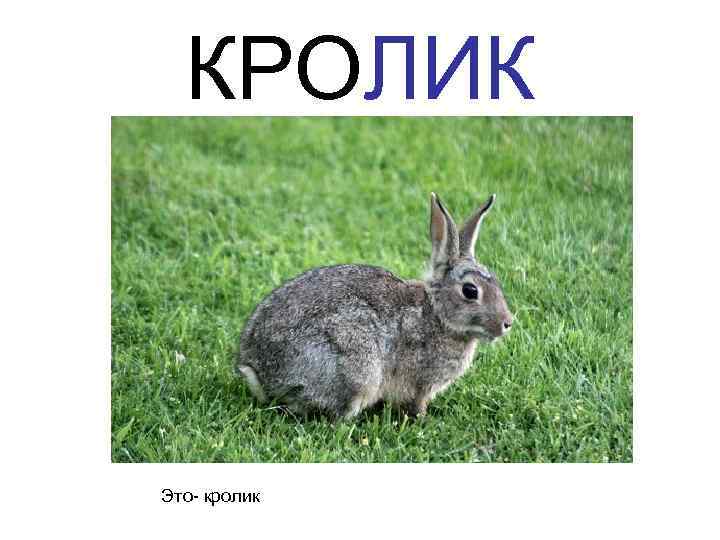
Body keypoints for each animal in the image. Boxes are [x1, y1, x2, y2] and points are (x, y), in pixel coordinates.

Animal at [235, 193, 513, 420]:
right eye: (470, 291)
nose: (507, 323)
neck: (437, 314)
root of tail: (259, 373)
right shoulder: (420, 383)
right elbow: (416, 404)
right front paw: (424, 420)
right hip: (357, 368)